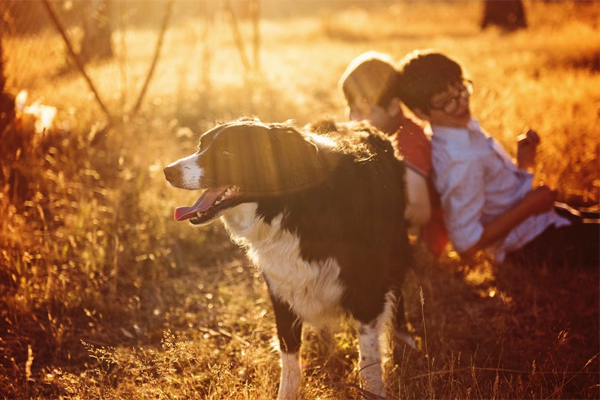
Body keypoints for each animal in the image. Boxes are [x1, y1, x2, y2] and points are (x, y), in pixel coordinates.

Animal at [164, 117, 412, 398]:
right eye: (200, 145)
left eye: (227, 153)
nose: (167, 171)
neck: (292, 207)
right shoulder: (281, 288)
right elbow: (289, 358)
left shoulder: (367, 290)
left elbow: (369, 363)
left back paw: (404, 341)